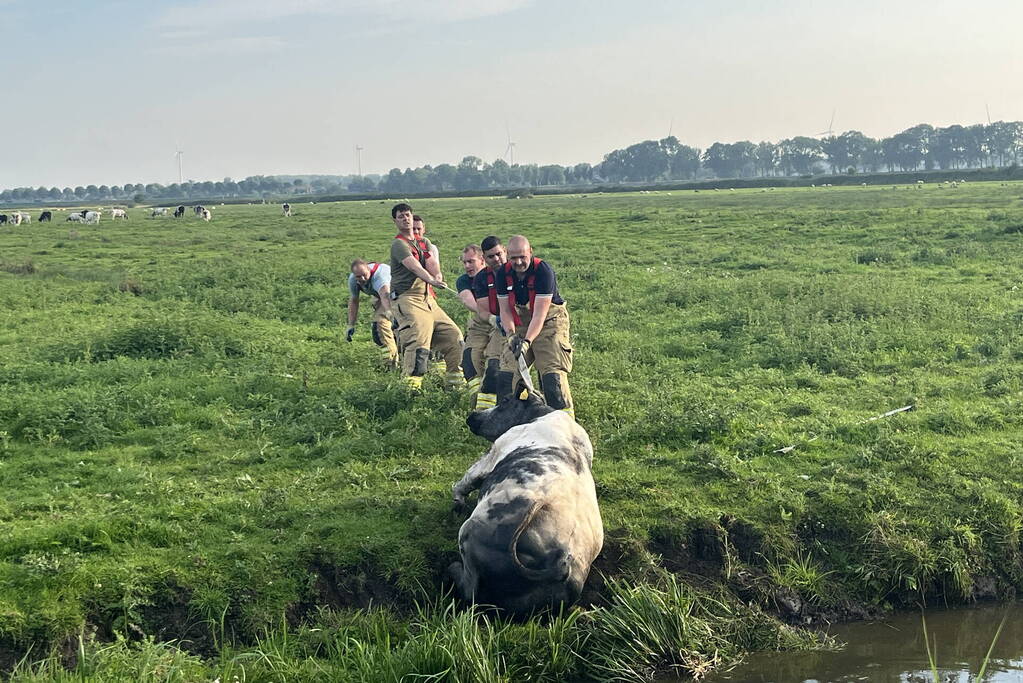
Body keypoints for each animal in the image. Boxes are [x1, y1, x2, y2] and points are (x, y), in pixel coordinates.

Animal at [449, 391, 603, 615]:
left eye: (505, 400)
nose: (473, 416)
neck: (540, 414)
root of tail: (558, 560)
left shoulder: (495, 450)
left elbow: (469, 478)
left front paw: (458, 503)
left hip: (468, 531)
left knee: (470, 590)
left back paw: (453, 569)